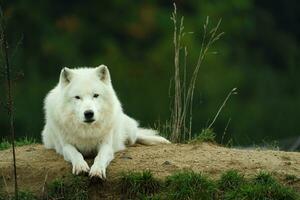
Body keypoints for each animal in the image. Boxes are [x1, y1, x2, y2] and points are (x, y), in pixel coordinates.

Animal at [41, 65, 170, 178]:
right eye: (77, 97)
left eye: (95, 95)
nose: (89, 113)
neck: (87, 131)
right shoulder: (66, 146)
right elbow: (76, 154)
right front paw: (81, 166)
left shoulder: (106, 145)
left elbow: (100, 157)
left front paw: (97, 171)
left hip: (128, 133)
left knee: (136, 136)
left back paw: (160, 141)